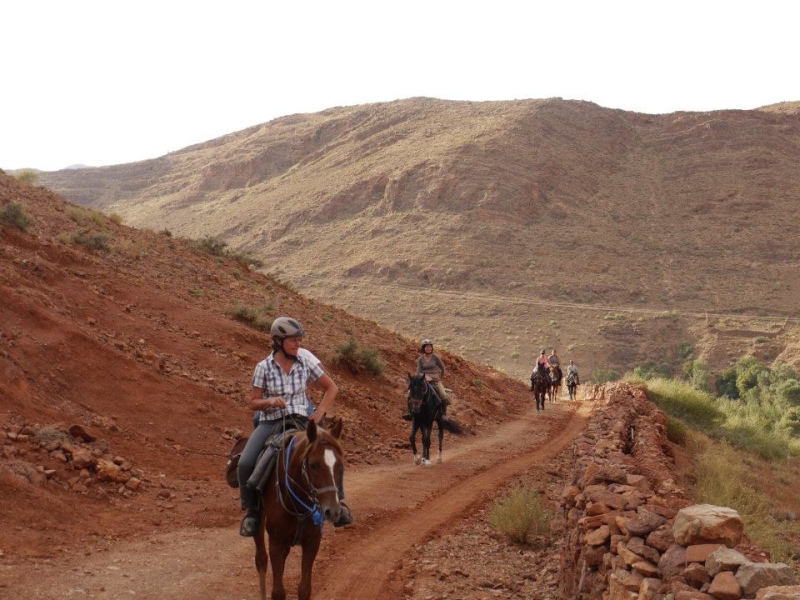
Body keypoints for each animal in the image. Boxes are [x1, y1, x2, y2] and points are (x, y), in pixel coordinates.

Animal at [252, 418, 346, 600]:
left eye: (340, 466)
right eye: (314, 465)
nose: (333, 511)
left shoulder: (313, 541)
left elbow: (304, 589)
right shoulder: (276, 541)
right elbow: (278, 592)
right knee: (261, 559)